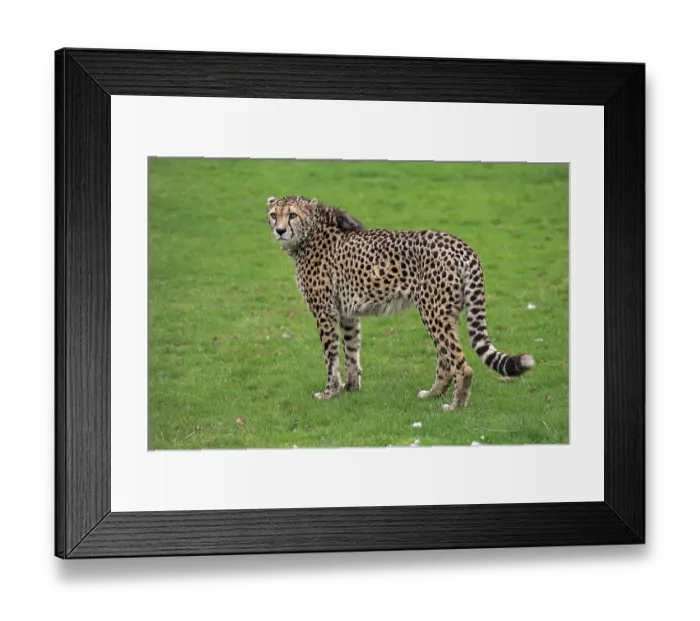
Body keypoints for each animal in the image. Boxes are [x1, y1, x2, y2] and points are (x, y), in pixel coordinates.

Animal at [266, 195, 535, 411]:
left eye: (292, 214)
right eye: (273, 215)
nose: (280, 230)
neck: (311, 232)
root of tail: (460, 245)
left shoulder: (325, 312)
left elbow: (331, 357)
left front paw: (329, 393)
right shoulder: (347, 313)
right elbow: (351, 351)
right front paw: (351, 388)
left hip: (433, 312)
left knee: (460, 364)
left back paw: (455, 406)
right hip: (447, 312)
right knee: (445, 360)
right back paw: (434, 393)